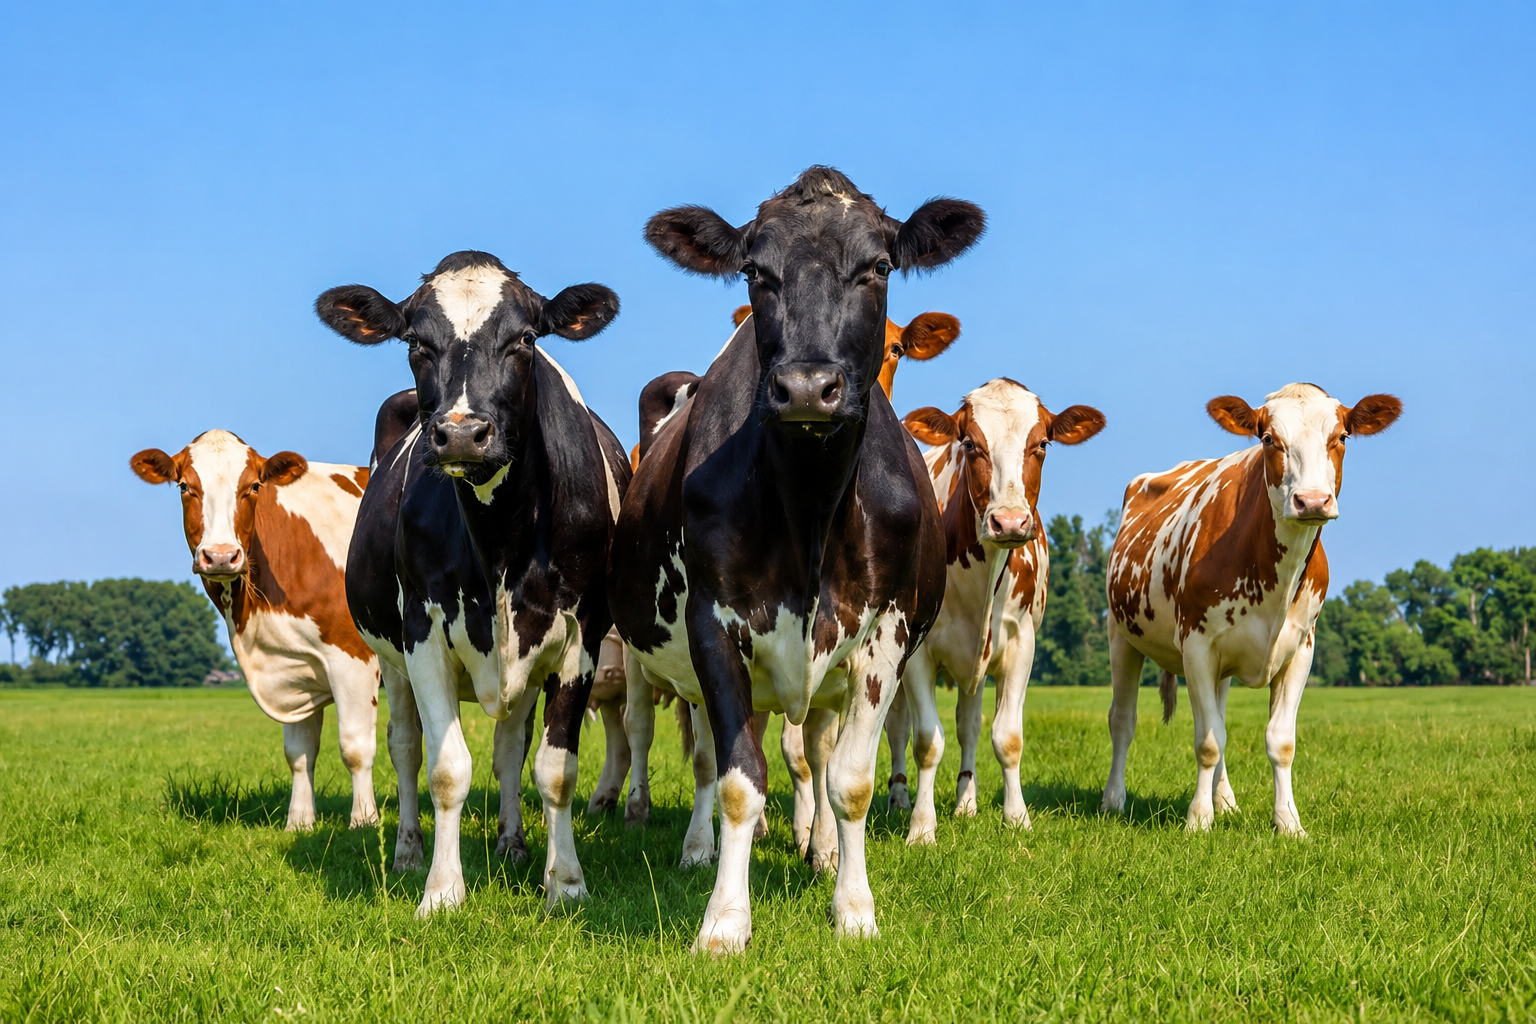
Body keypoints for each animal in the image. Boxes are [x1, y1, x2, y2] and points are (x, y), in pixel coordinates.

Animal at [129, 432, 381, 832]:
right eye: (185, 486)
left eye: (254, 486)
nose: (220, 556)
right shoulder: (295, 666)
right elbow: (299, 753)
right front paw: (299, 822)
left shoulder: (354, 657)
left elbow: (355, 747)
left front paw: (364, 822)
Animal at [314, 251, 628, 916]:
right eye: (415, 342)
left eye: (526, 338)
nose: (460, 433)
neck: (502, 542)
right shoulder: (423, 633)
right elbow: (445, 770)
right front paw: (441, 890)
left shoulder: (581, 636)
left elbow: (553, 769)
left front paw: (565, 883)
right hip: (391, 658)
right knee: (405, 747)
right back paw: (408, 852)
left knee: (509, 747)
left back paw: (512, 844)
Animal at [610, 165, 985, 952]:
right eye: (756, 270)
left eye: (879, 267)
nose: (808, 388)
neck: (811, 507)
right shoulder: (715, 626)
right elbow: (736, 780)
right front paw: (724, 921)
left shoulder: (885, 635)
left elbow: (850, 780)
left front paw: (854, 908)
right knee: (690, 751)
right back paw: (697, 846)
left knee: (814, 747)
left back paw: (820, 850)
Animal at [887, 379, 1105, 842]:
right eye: (970, 444)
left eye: (1042, 444)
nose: (1009, 522)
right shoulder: (917, 652)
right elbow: (926, 741)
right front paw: (921, 827)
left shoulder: (1021, 642)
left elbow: (1006, 737)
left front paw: (1016, 816)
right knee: (897, 727)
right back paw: (899, 799)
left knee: (968, 722)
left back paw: (966, 802)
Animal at [1101, 383, 1401, 835]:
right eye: (1269, 439)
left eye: (1342, 437)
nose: (1312, 500)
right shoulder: (1197, 646)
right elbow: (1208, 741)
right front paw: (1198, 820)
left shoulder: (1301, 648)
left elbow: (1280, 741)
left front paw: (1288, 823)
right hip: (1121, 635)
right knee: (1123, 720)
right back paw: (1113, 800)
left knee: (1218, 715)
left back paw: (1225, 800)